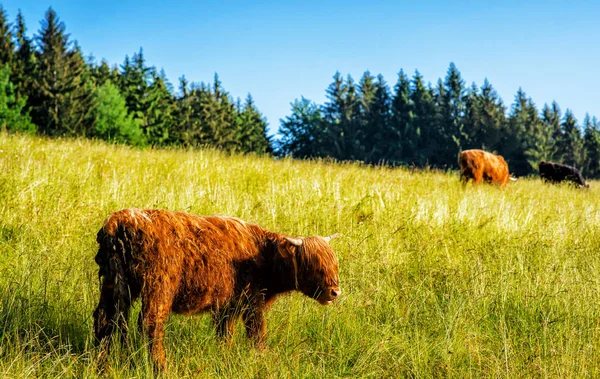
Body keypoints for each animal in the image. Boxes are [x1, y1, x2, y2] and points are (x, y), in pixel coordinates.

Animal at [92, 208, 340, 372]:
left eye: (334, 264)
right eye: (314, 265)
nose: (335, 292)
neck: (263, 255)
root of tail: (119, 220)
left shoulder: (227, 305)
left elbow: (225, 334)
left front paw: (225, 356)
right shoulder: (252, 302)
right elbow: (257, 333)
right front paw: (262, 357)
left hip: (112, 283)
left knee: (104, 319)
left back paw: (100, 363)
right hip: (158, 286)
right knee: (150, 324)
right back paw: (161, 367)